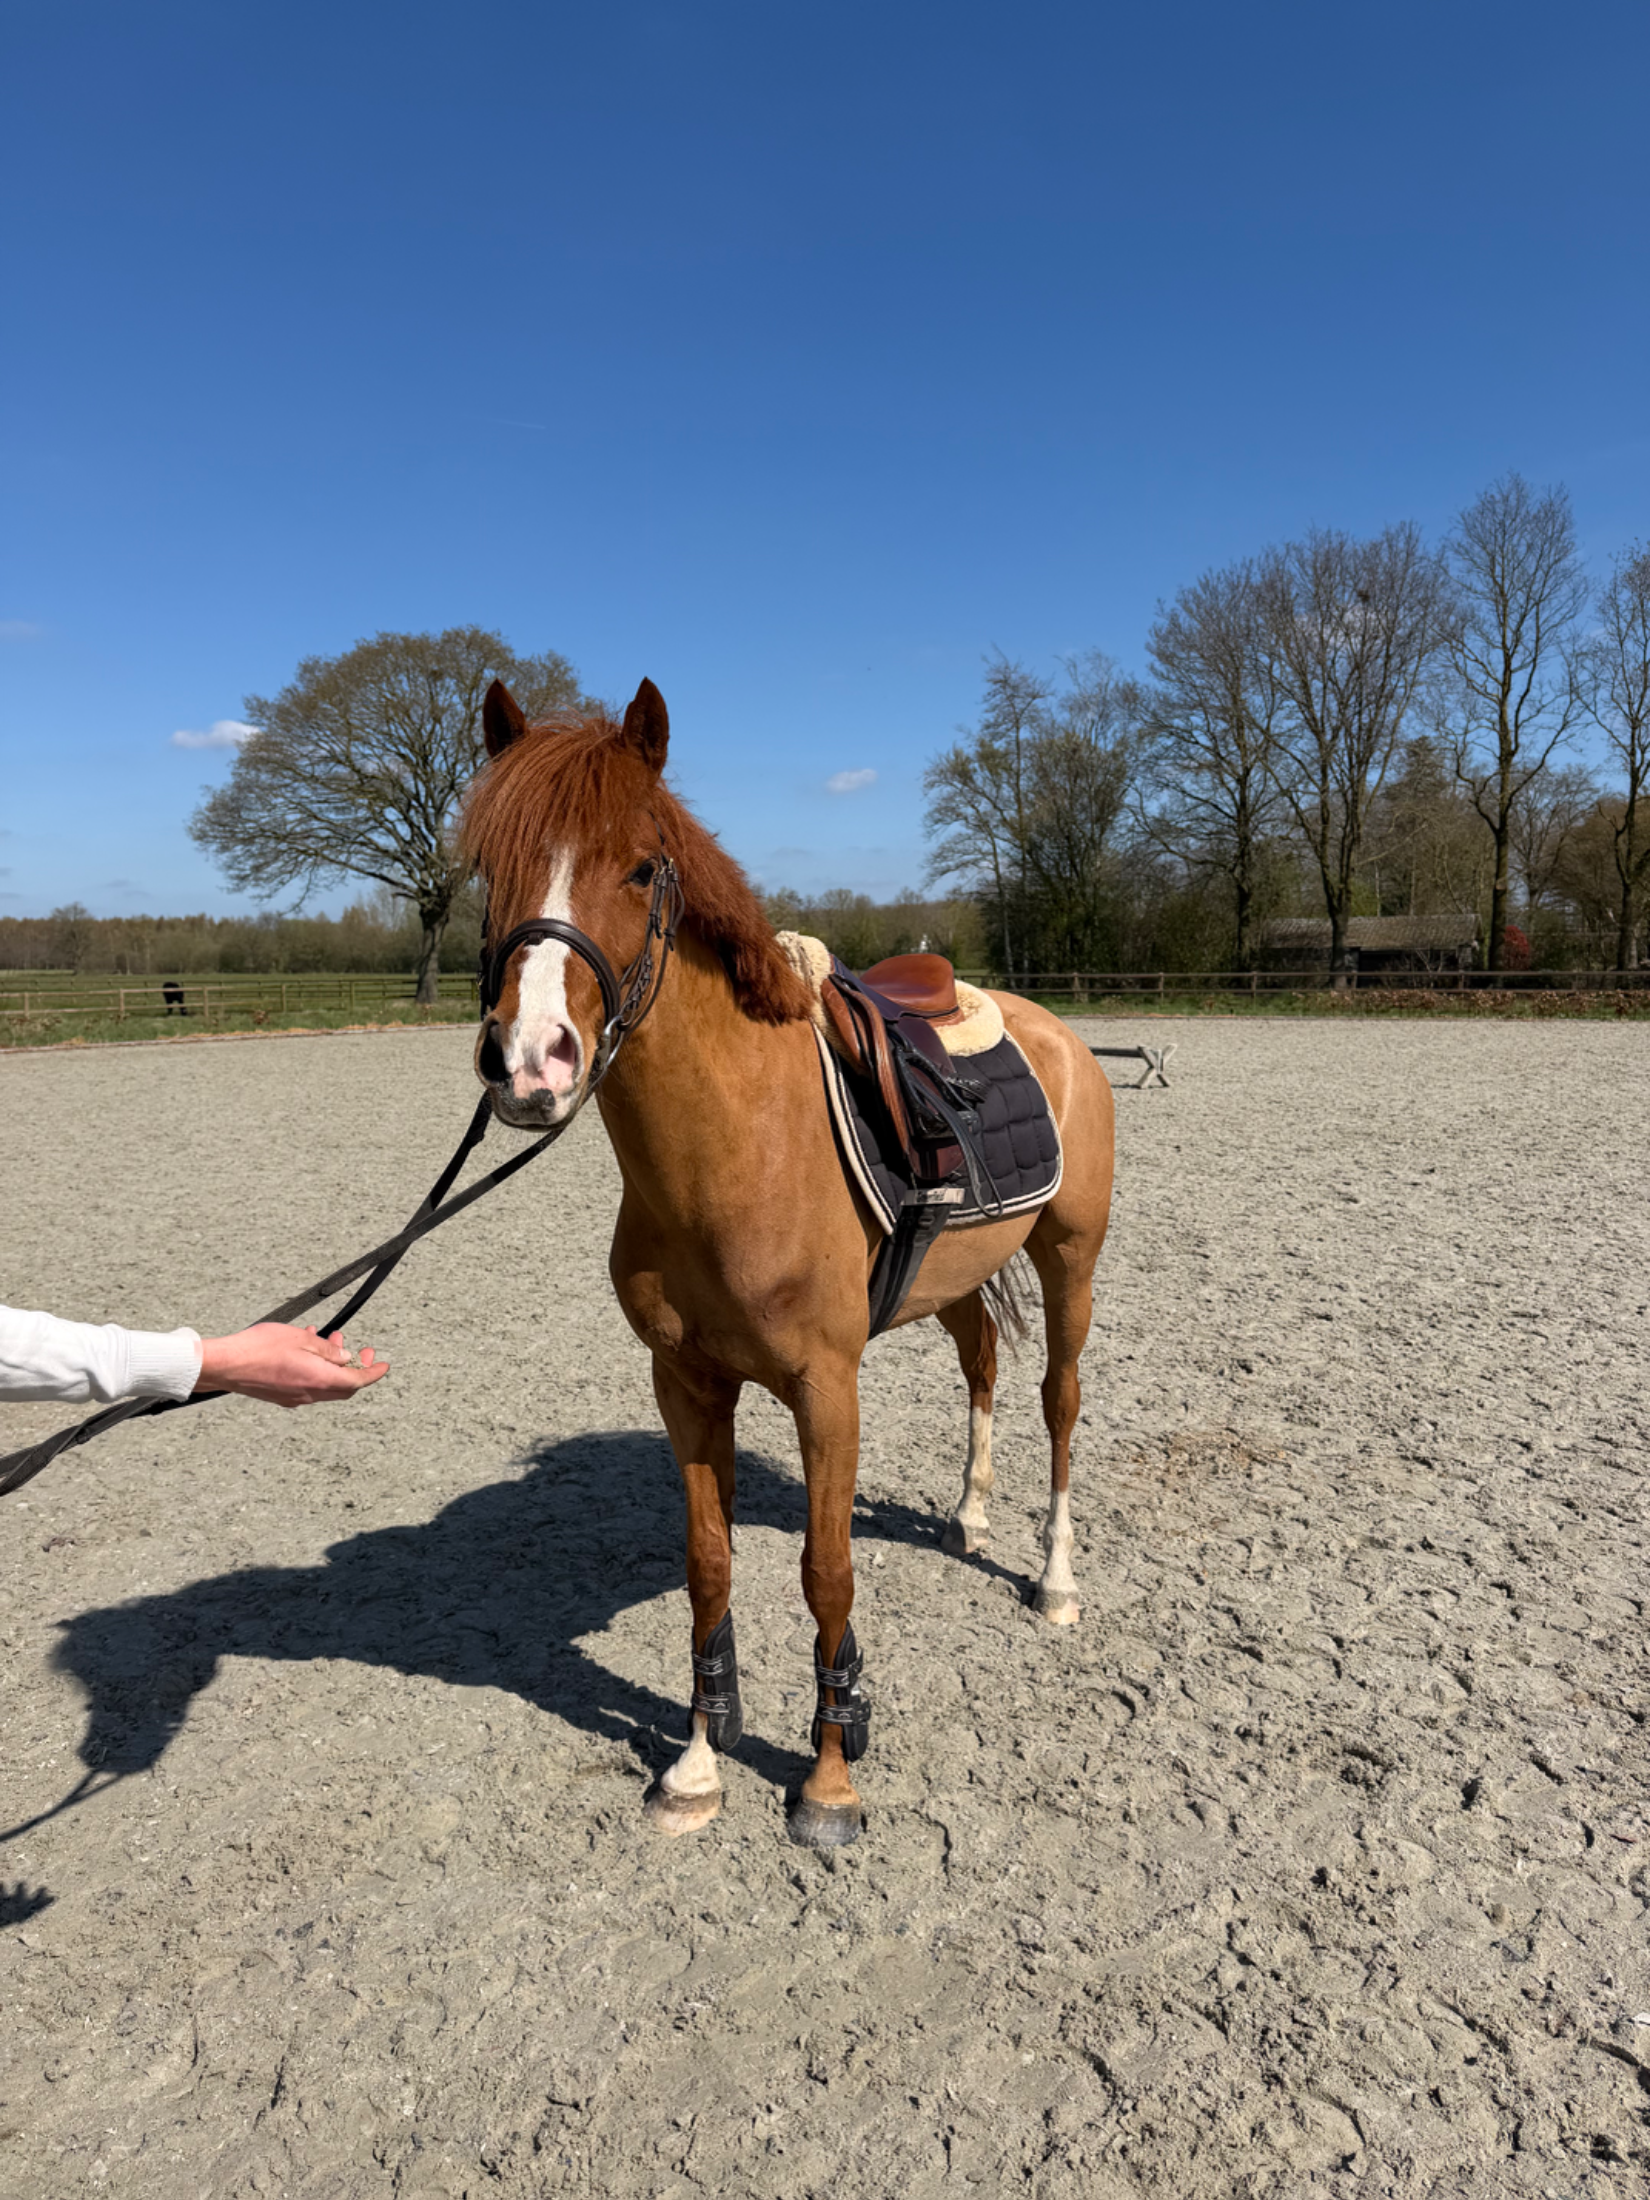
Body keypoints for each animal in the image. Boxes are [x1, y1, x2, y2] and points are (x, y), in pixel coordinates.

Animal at [461, 677, 1115, 1847]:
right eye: (493, 865)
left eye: (642, 866)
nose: (530, 1061)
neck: (736, 1148)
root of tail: (1055, 1031)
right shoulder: (685, 1382)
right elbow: (709, 1565)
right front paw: (697, 1759)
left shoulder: (825, 1385)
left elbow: (826, 1572)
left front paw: (830, 1776)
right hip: (956, 1283)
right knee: (983, 1363)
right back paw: (970, 1513)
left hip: (1072, 1258)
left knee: (1060, 1401)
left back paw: (1052, 1578)